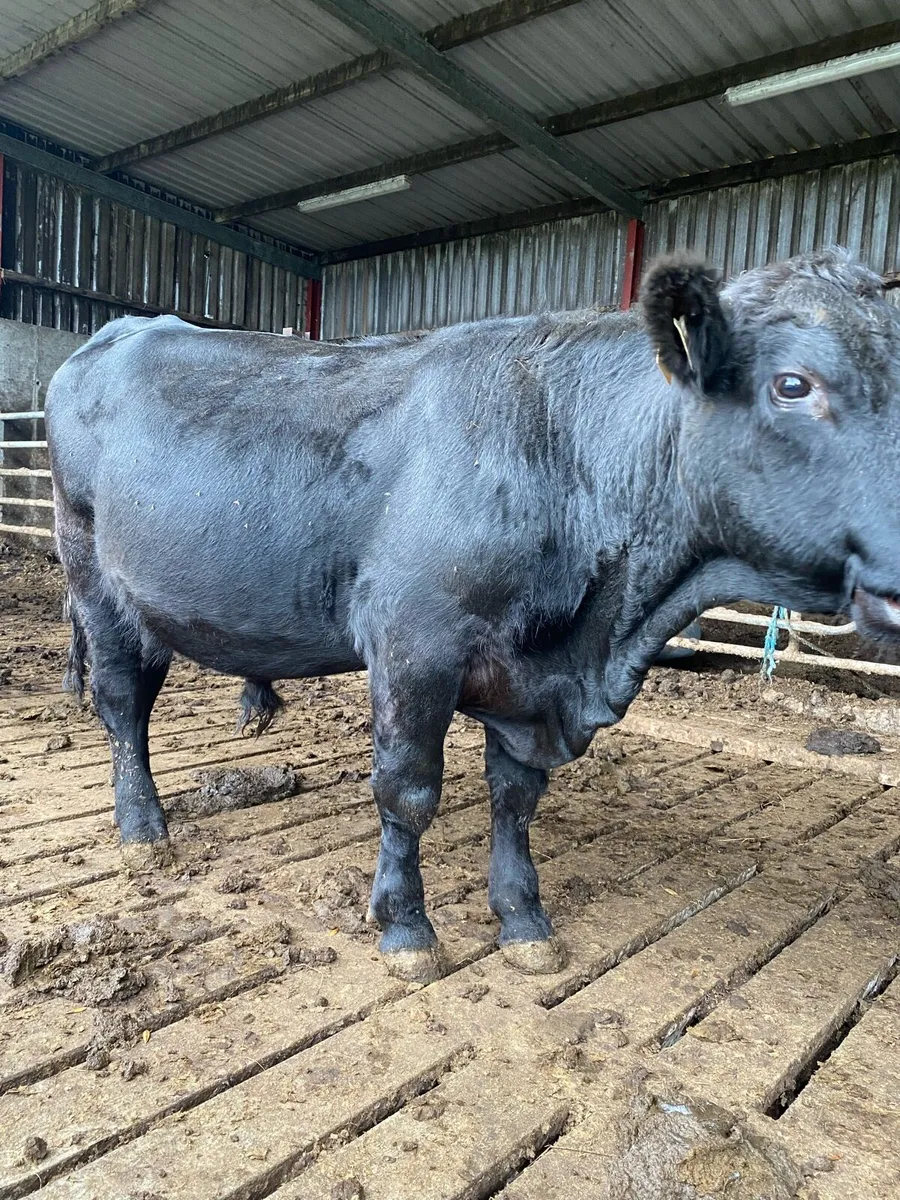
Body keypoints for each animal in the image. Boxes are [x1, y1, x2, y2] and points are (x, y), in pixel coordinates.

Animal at [45, 247, 900, 984]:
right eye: (793, 385)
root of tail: (123, 331)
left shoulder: (529, 678)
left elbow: (516, 799)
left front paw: (523, 921)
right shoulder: (412, 647)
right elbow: (407, 791)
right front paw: (406, 927)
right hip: (92, 576)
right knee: (122, 705)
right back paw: (143, 831)